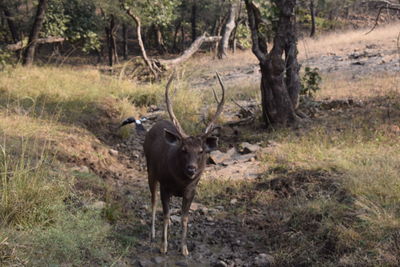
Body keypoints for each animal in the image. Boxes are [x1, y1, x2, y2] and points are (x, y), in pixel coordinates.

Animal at [144, 72, 225, 256]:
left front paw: (184, 248)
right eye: (183, 149)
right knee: (153, 200)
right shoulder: (165, 186)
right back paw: (152, 233)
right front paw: (163, 246)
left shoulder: (191, 191)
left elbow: (185, 218)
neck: (180, 182)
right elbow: (165, 213)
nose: (191, 169)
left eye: (201, 151)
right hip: (150, 170)